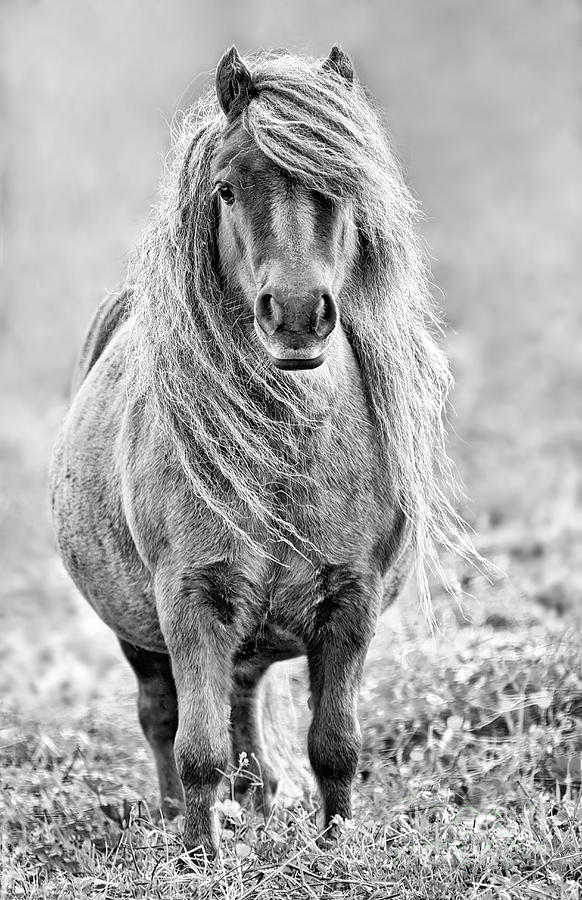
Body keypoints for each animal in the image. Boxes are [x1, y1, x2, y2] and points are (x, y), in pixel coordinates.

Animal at [50, 44, 476, 856]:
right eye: (226, 188)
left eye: (344, 187)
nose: (300, 315)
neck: (283, 454)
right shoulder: (189, 601)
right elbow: (197, 749)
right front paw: (200, 859)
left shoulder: (351, 602)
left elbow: (334, 743)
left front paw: (337, 846)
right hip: (143, 634)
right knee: (163, 716)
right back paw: (175, 818)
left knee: (241, 702)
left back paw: (258, 804)